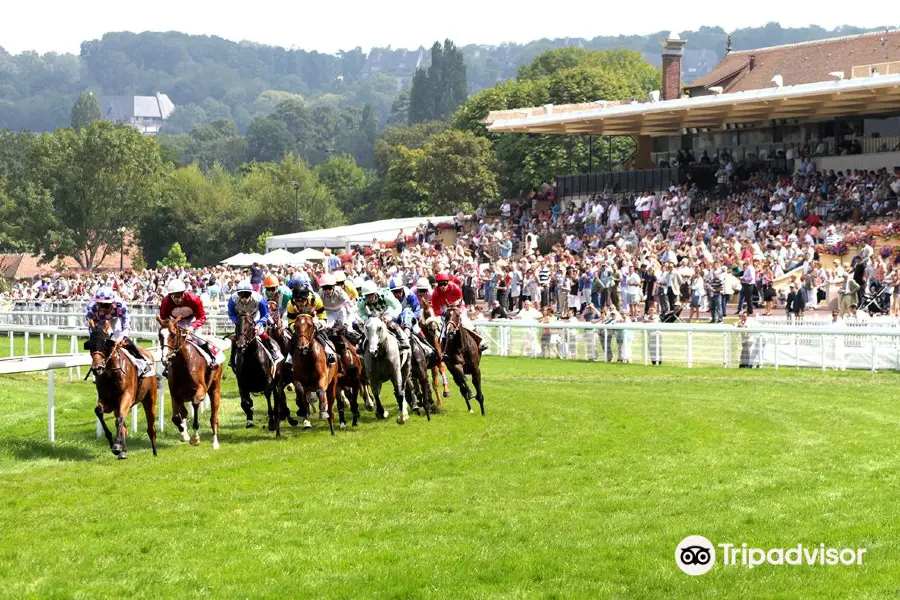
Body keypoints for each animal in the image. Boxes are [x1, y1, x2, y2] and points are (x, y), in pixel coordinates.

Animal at [86, 324, 158, 460]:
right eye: (90, 345)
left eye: (105, 344)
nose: (97, 368)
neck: (112, 374)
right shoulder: (107, 400)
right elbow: (99, 411)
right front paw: (113, 442)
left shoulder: (127, 396)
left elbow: (119, 419)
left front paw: (116, 446)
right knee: (123, 424)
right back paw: (123, 450)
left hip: (150, 398)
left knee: (151, 427)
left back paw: (155, 452)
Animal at [157, 316, 224, 448]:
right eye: (160, 335)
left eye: (173, 334)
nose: (165, 359)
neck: (183, 364)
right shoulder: (175, 394)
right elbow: (176, 417)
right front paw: (184, 434)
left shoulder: (201, 389)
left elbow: (195, 404)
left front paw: (195, 437)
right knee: (184, 412)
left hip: (214, 389)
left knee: (214, 417)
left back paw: (215, 443)